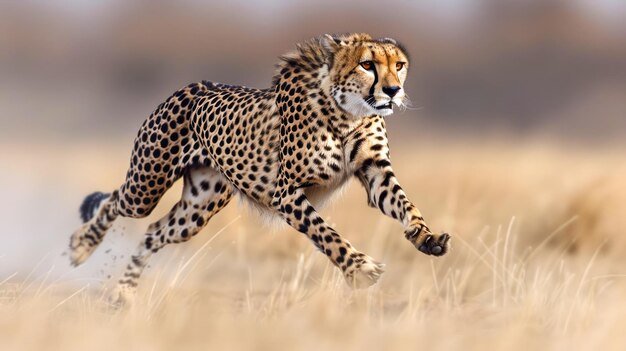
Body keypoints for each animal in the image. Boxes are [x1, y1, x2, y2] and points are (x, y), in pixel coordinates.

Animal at [68, 33, 448, 306]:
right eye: (367, 64)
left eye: (399, 65)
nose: (393, 90)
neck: (348, 112)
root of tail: (194, 85)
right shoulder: (287, 193)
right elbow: (325, 233)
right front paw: (359, 268)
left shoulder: (374, 171)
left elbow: (405, 204)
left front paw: (425, 237)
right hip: (146, 186)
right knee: (113, 201)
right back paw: (82, 245)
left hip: (197, 208)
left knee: (153, 232)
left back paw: (124, 292)